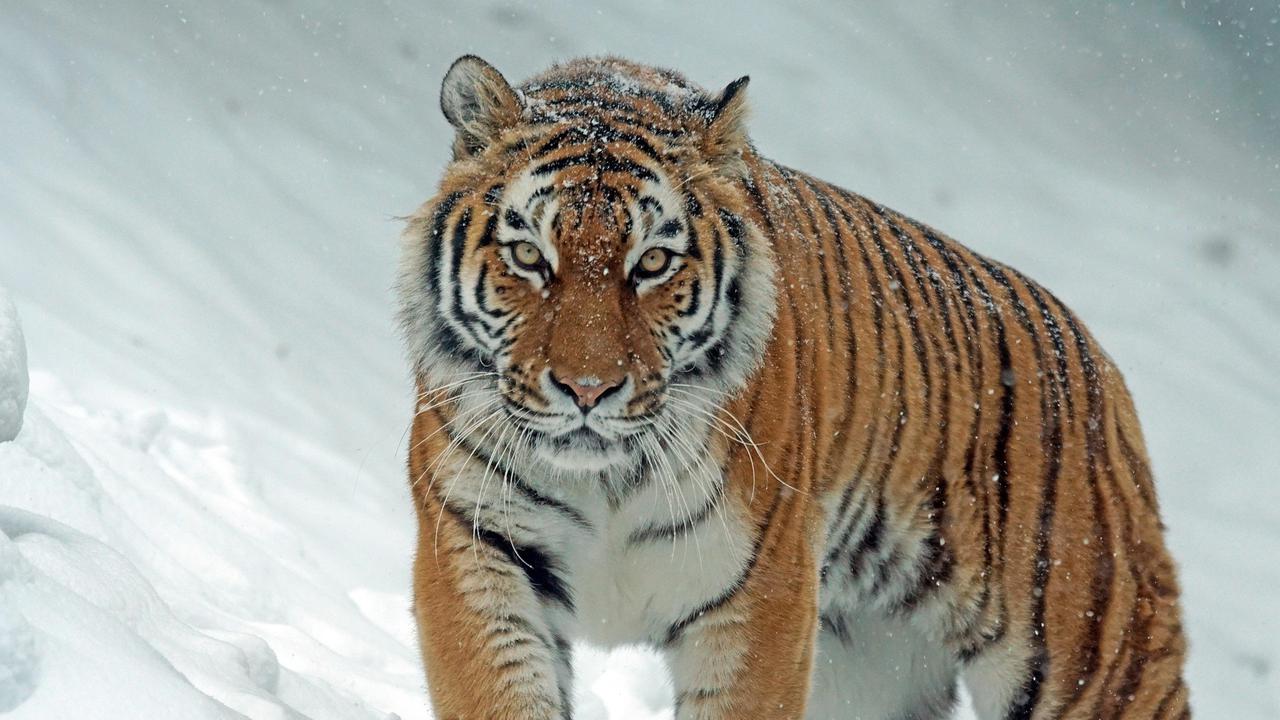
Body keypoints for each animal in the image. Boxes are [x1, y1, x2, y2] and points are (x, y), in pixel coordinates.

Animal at [396, 55, 1189, 720]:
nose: (588, 390)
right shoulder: (478, 549)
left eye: (651, 263)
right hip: (870, 670)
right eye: (530, 255)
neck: (606, 482)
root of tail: (1102, 370)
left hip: (1094, 661)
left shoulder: (761, 599)